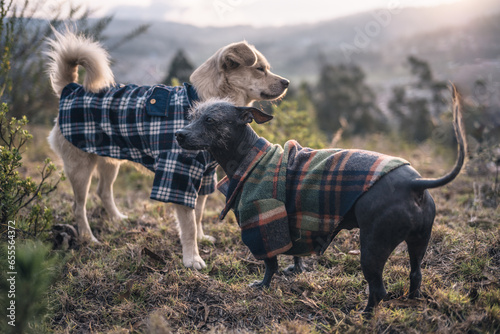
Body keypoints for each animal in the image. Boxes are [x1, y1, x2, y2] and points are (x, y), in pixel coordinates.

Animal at [47, 28, 290, 268]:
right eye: (260, 69)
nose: (287, 82)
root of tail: (71, 89)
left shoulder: (205, 176)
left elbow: (198, 215)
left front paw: (201, 238)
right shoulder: (178, 176)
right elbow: (189, 224)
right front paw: (192, 258)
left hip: (109, 160)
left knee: (103, 191)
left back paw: (117, 219)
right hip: (80, 167)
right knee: (79, 206)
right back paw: (89, 238)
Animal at [175, 89, 464, 314]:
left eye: (210, 120)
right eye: (191, 117)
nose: (178, 134)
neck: (249, 155)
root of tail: (415, 183)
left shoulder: (262, 225)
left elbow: (270, 264)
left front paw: (263, 286)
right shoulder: (296, 221)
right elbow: (295, 252)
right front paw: (296, 270)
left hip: (373, 246)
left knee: (379, 290)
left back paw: (363, 316)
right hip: (419, 241)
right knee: (416, 274)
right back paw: (413, 302)